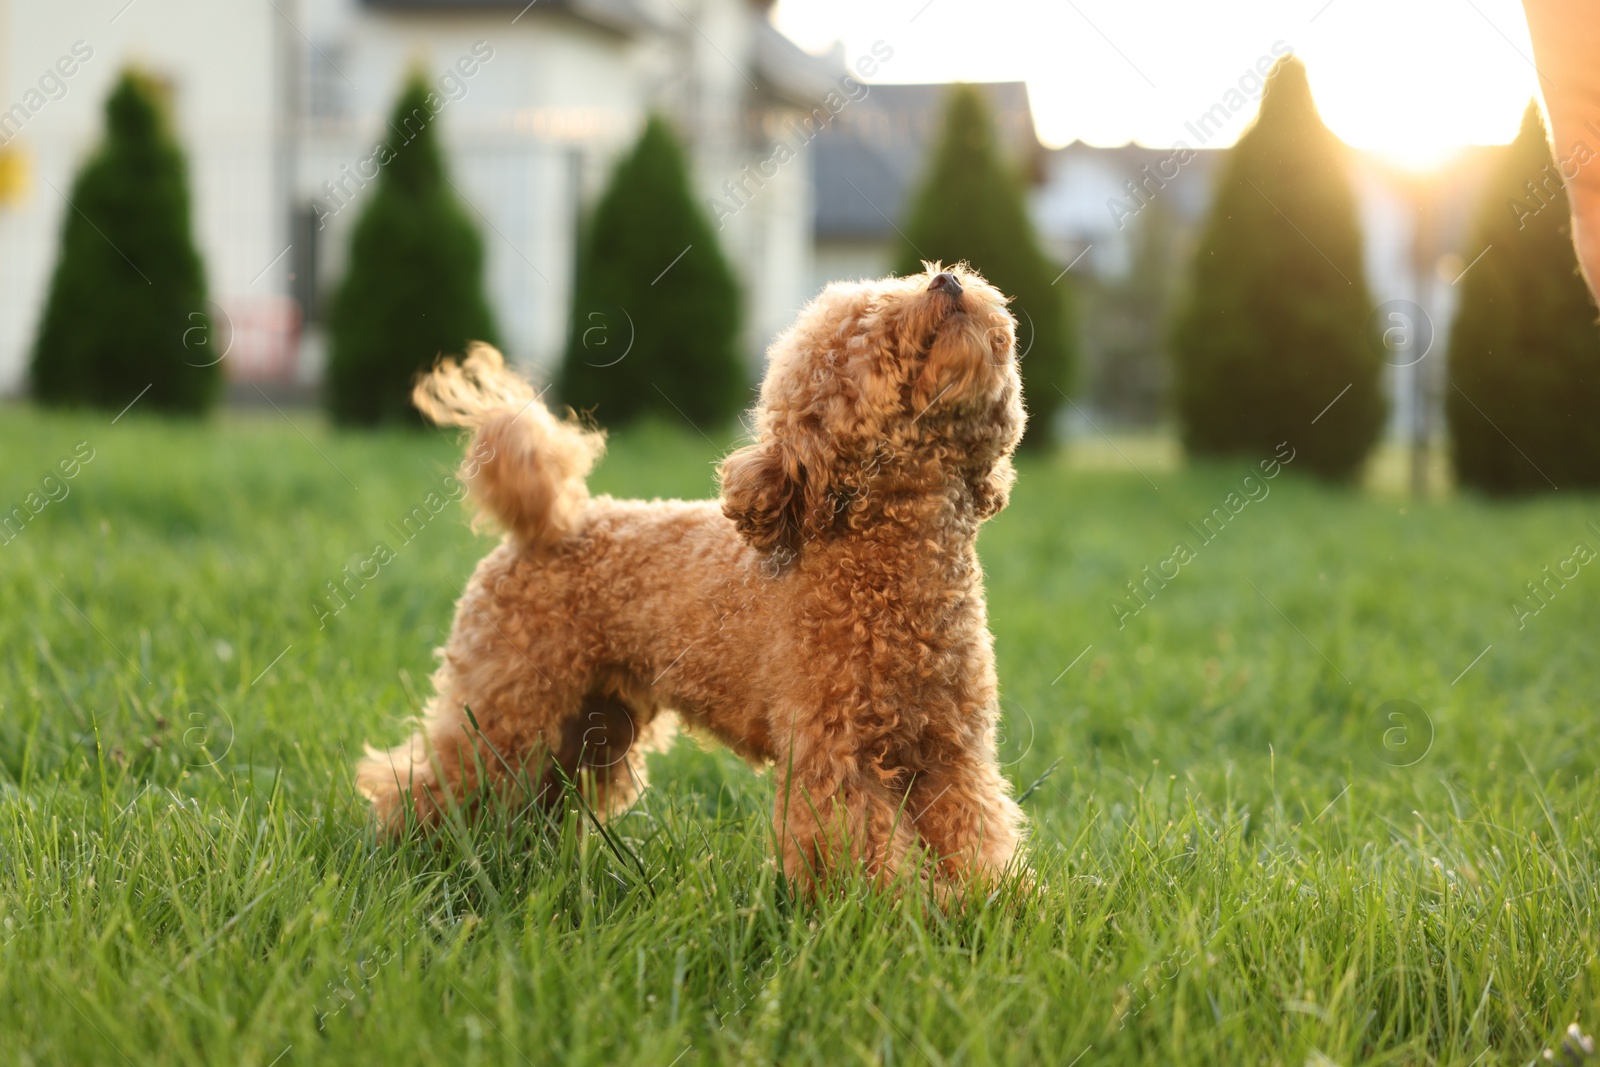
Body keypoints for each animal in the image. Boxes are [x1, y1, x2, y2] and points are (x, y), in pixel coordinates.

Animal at [355, 265, 1024, 895]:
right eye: (870, 325)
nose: (948, 280)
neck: (888, 566)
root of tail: (548, 526)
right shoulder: (835, 755)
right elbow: (859, 852)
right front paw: (894, 912)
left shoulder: (952, 754)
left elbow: (974, 834)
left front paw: (989, 902)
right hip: (505, 698)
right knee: (434, 776)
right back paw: (409, 850)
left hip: (590, 718)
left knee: (536, 793)